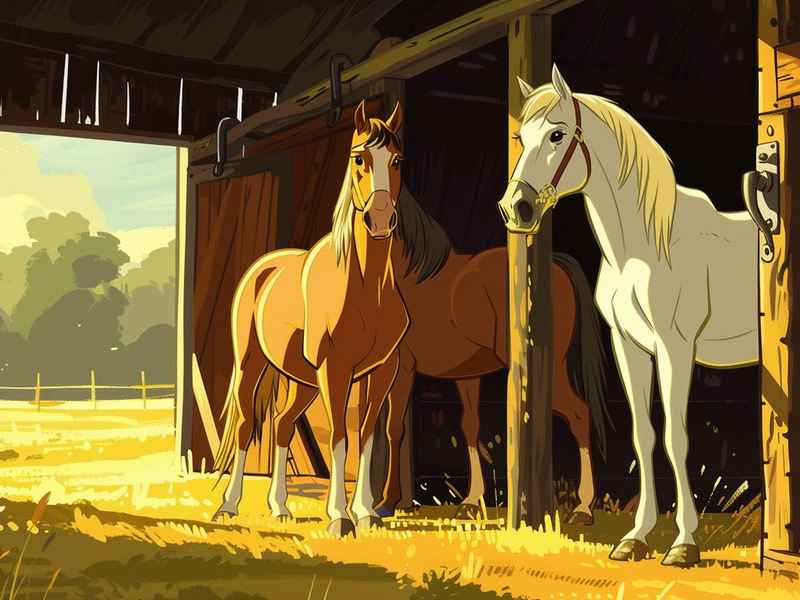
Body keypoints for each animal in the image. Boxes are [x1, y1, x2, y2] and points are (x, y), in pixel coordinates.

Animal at [212, 100, 410, 538]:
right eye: (359, 158)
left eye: (397, 159)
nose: (380, 219)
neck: (365, 287)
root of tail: (261, 267)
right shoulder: (335, 369)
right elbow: (338, 436)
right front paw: (340, 516)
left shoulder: (382, 370)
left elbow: (366, 436)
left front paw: (366, 512)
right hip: (252, 363)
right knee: (245, 426)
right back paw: (228, 507)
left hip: (303, 380)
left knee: (284, 425)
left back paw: (280, 507)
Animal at [376, 195, 609, 525]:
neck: (414, 277)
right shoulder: (466, 376)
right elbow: (470, 428)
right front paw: (470, 502)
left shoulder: (403, 367)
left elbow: (394, 427)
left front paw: (387, 502)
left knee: (578, 414)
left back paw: (582, 508)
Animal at [497, 64, 758, 566]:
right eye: (520, 136)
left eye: (557, 134)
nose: (516, 209)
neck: (645, 247)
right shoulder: (630, 346)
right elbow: (644, 435)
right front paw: (635, 538)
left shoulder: (676, 348)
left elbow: (676, 438)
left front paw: (683, 544)